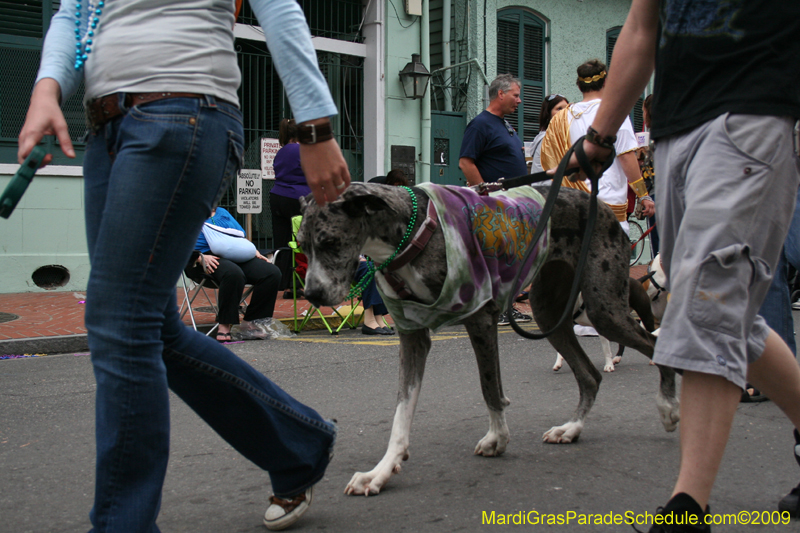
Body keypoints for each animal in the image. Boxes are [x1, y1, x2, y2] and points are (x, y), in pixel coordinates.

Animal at [296, 182, 680, 494]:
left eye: (330, 242)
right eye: (302, 247)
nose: (311, 294)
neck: (413, 235)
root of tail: (604, 206)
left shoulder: (481, 318)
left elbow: (489, 387)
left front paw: (498, 438)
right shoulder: (412, 336)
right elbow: (401, 412)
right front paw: (381, 471)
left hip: (604, 309)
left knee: (652, 344)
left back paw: (668, 407)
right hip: (549, 312)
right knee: (590, 375)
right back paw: (571, 428)